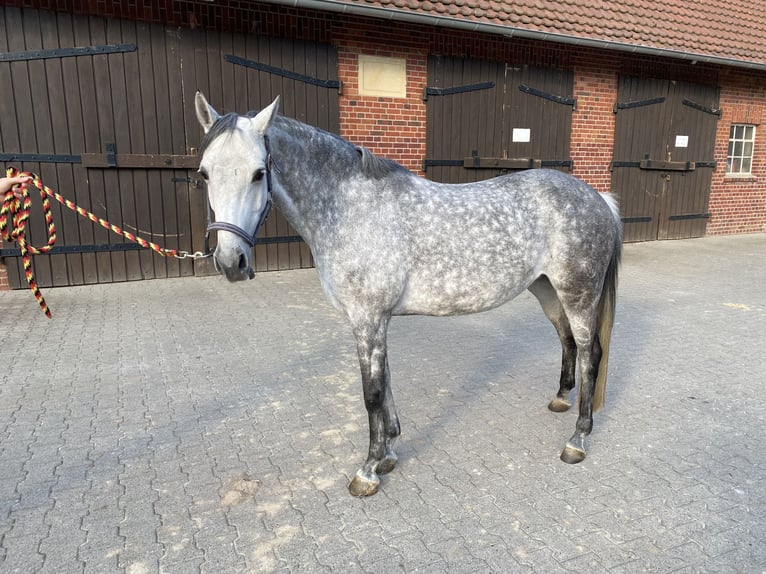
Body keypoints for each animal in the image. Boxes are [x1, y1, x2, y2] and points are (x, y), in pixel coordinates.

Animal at [195, 92, 620, 498]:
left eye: (259, 173)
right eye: (204, 173)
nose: (231, 262)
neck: (350, 209)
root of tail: (597, 197)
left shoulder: (367, 318)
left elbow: (371, 393)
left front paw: (367, 471)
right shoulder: (374, 320)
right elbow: (385, 384)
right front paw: (388, 453)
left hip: (579, 294)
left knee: (591, 354)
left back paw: (577, 439)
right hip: (546, 288)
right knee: (567, 341)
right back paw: (561, 400)